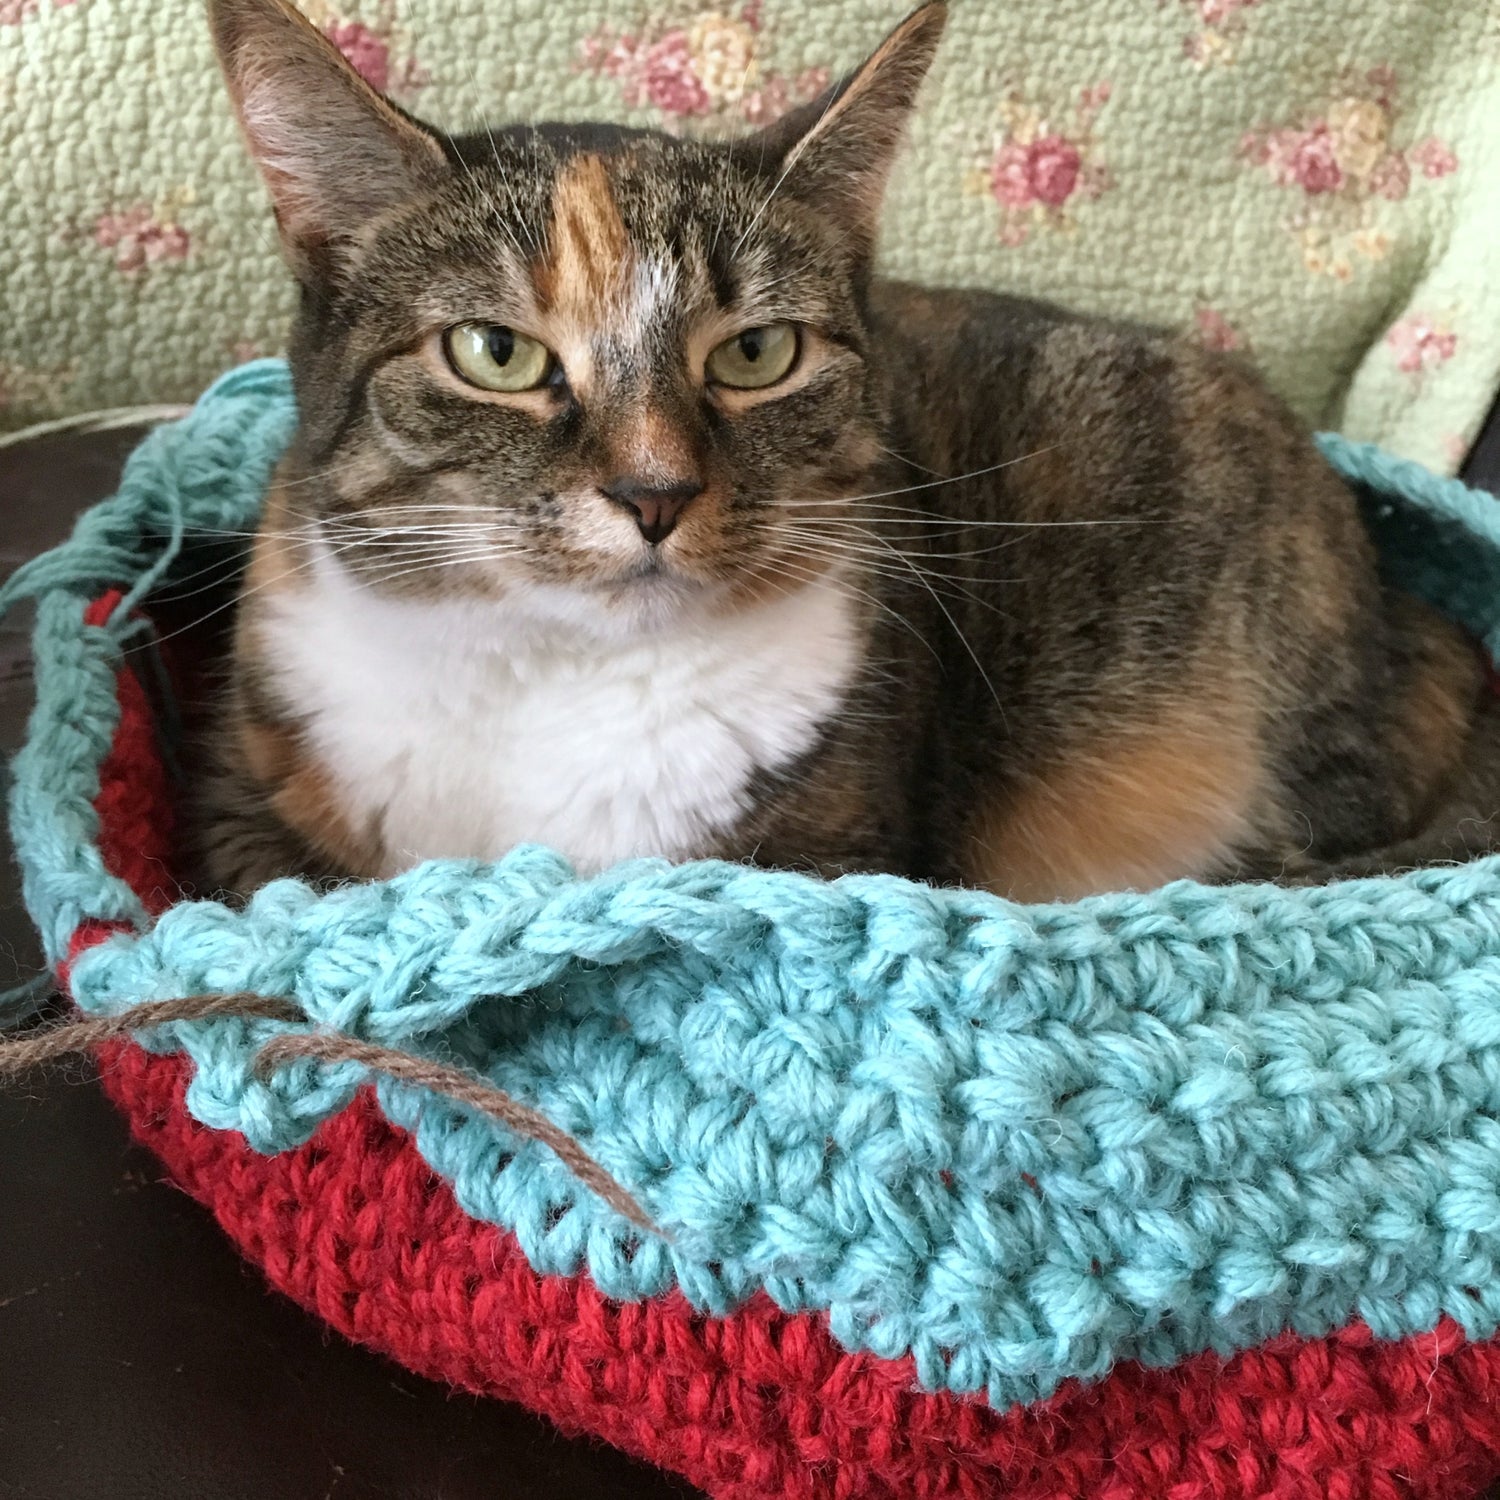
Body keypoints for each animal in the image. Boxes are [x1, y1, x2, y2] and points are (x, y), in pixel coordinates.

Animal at [193, 0, 1494, 900]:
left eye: (758, 352)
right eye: (494, 353)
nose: (655, 492)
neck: (549, 675)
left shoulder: (841, 846)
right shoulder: (247, 804)